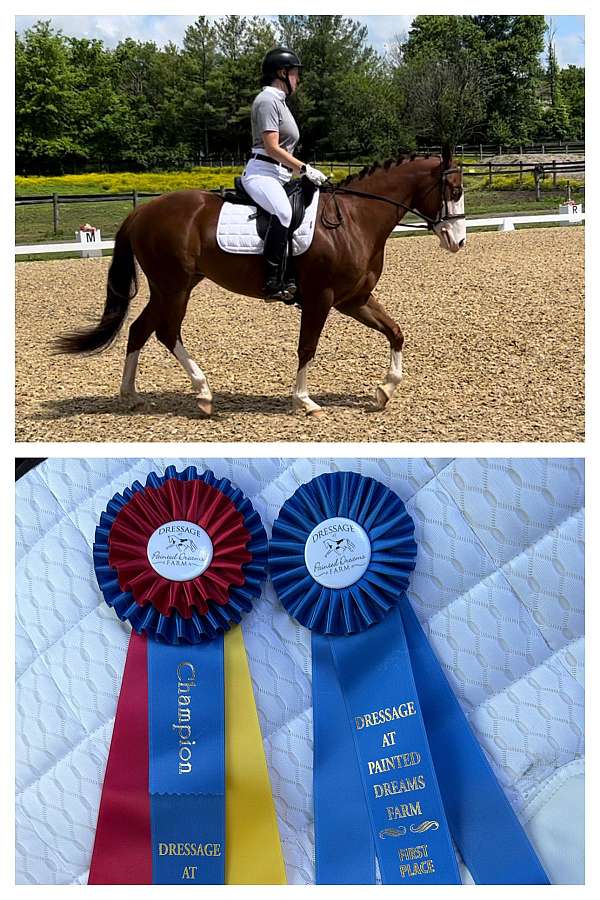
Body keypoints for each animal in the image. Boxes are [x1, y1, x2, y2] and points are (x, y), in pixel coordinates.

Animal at [56, 145, 465, 417]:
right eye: (455, 191)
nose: (458, 241)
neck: (354, 218)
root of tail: (142, 211)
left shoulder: (354, 298)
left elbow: (395, 332)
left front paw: (384, 391)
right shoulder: (320, 298)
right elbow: (307, 348)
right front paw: (305, 401)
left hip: (170, 287)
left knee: (140, 329)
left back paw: (131, 394)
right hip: (175, 287)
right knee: (166, 332)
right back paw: (203, 395)